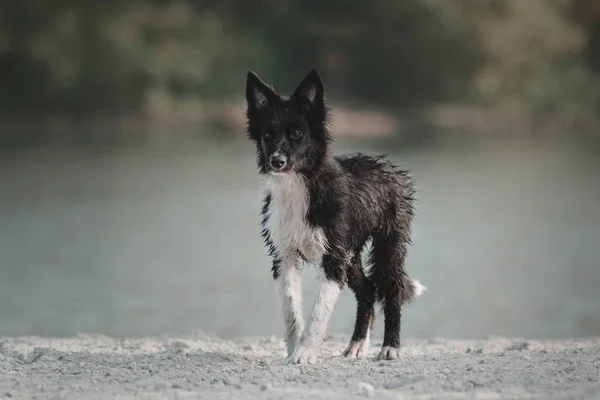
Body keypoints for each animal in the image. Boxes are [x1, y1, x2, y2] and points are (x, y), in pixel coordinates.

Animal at [245, 69, 426, 366]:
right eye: (268, 134)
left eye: (297, 133)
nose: (276, 161)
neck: (301, 186)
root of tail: (388, 165)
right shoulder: (284, 256)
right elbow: (291, 311)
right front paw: (293, 351)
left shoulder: (333, 259)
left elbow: (318, 312)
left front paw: (304, 353)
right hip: (351, 254)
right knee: (367, 290)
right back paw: (356, 345)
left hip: (388, 245)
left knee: (392, 288)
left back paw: (390, 347)